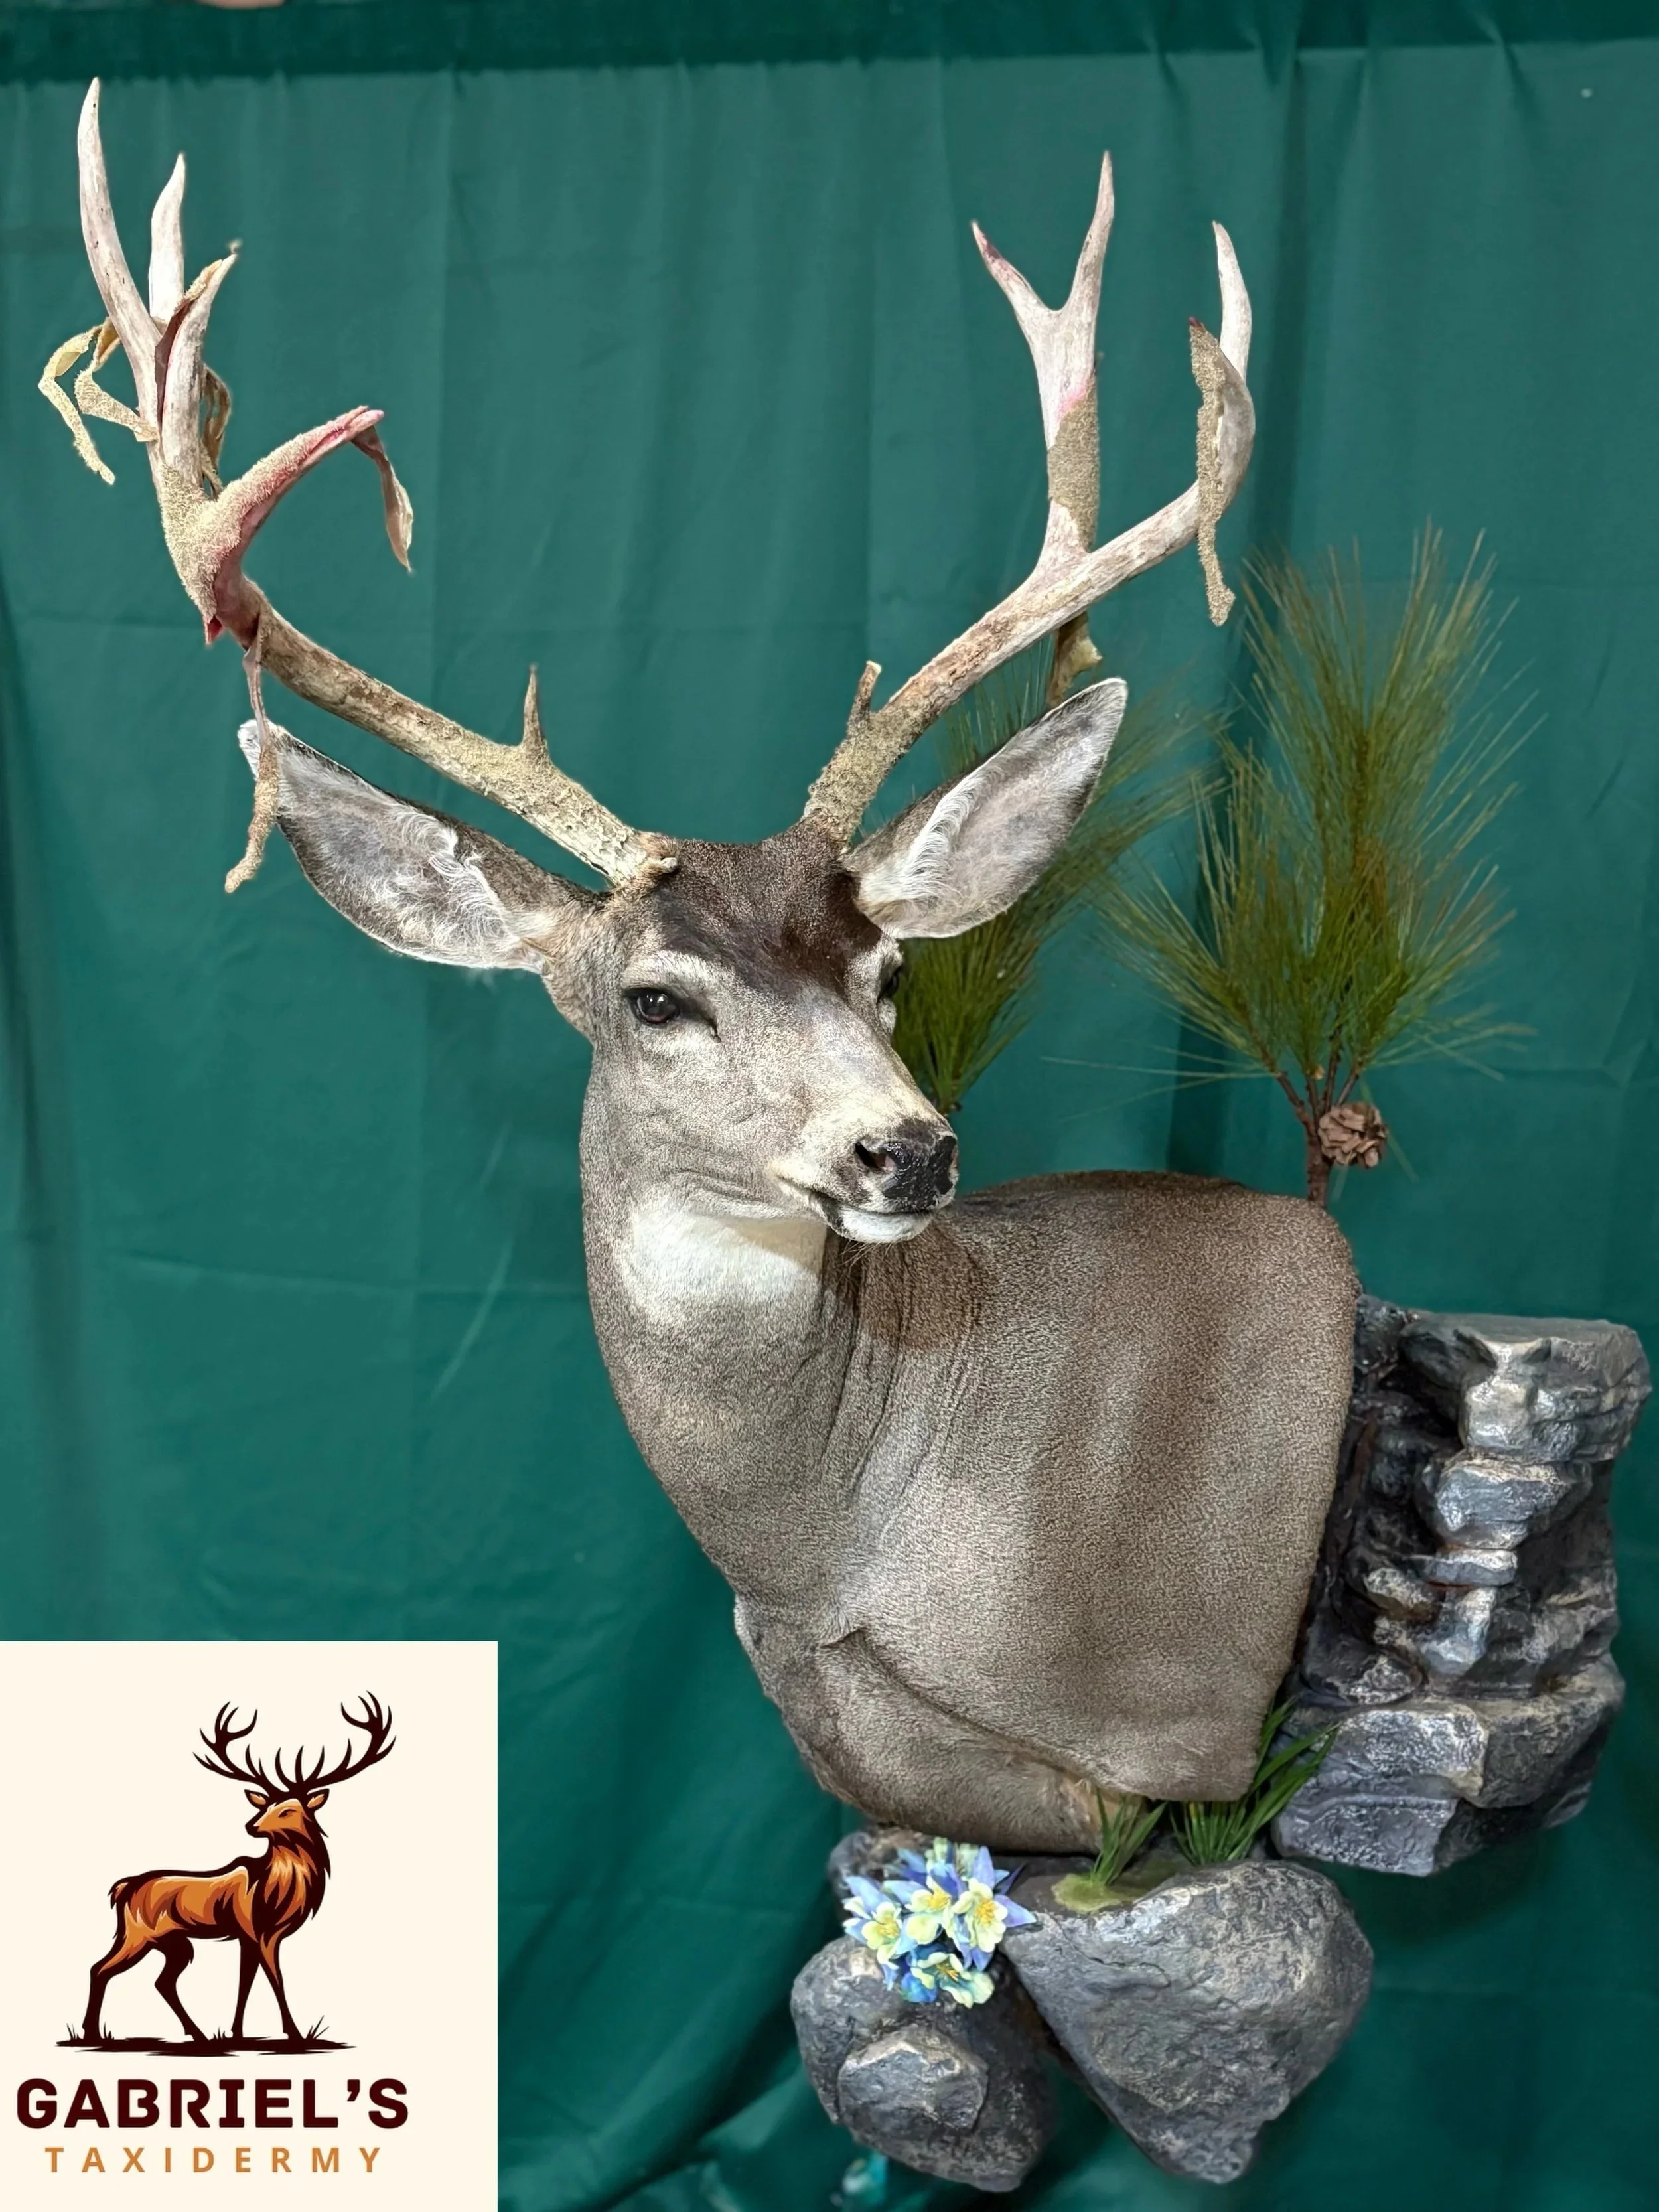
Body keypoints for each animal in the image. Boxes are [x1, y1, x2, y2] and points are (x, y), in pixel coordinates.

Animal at [82, 1696, 394, 2047]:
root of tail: (122, 1889)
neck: (281, 1889)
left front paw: (237, 2034)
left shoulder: (252, 1937)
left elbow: (246, 1982)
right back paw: (93, 2033)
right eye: (264, 1805)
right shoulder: (257, 1931)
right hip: (138, 1935)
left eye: (287, 1810)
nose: (250, 1825)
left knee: (160, 1981)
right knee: (100, 1969)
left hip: (173, 1943)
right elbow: (276, 1979)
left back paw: (199, 2035)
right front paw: (295, 2035)